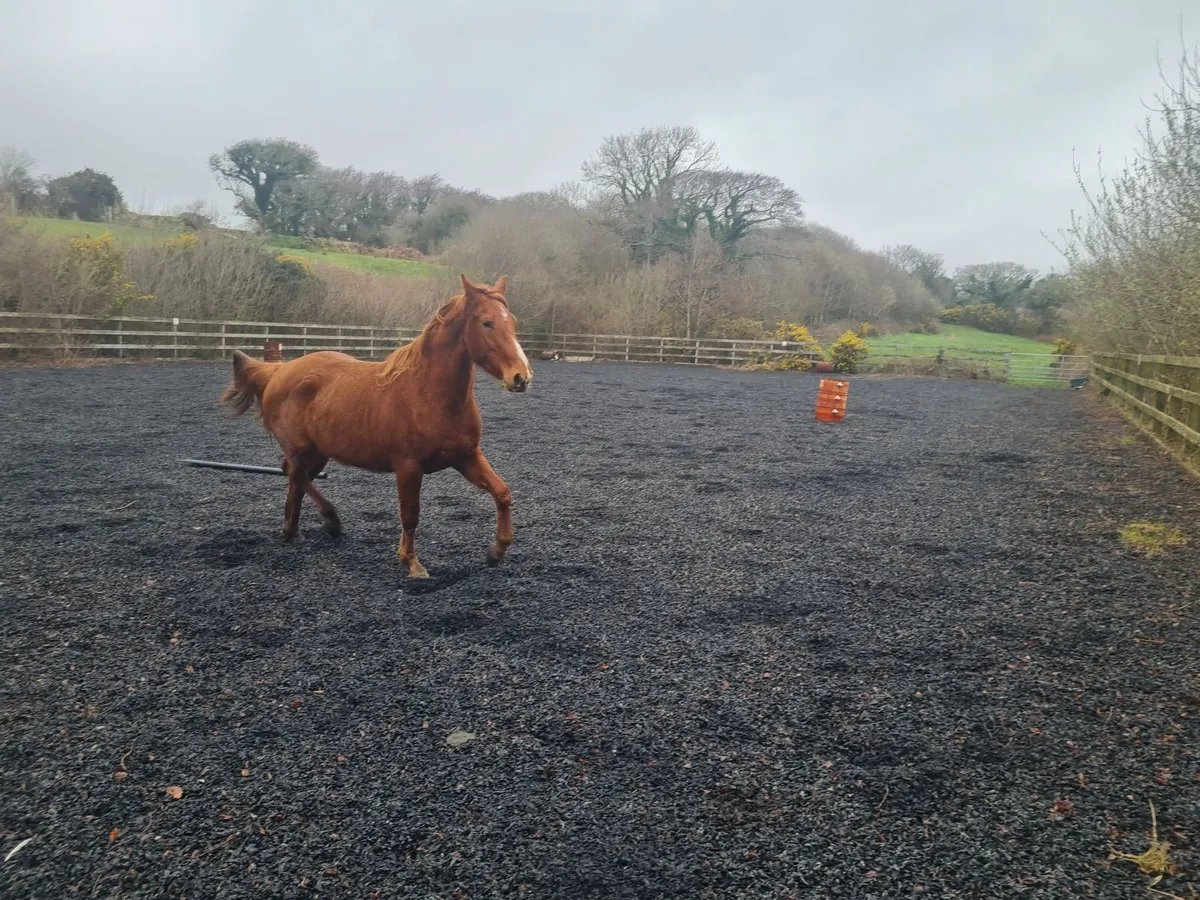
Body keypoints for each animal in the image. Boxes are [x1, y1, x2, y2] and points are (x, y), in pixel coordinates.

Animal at [219, 275, 533, 578]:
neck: (427, 393)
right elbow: (410, 514)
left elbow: (502, 492)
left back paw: (294, 532)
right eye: (486, 323)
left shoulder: (466, 456)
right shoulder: (408, 466)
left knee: (295, 479)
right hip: (301, 448)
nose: (522, 377)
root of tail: (278, 371)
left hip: (319, 452)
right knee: (294, 474)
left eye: (513, 322)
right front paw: (411, 563)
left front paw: (497, 550)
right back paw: (329, 520)